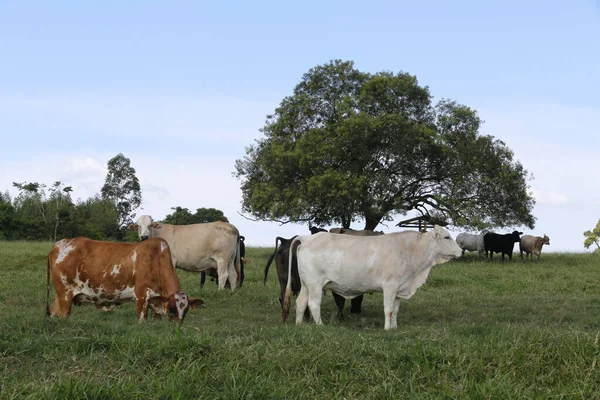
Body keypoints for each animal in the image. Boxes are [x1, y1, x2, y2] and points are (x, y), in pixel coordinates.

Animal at [45, 236, 204, 324]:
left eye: (185, 311)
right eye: (171, 310)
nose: (177, 328)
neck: (157, 260)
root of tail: (59, 244)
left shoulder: (156, 304)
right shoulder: (141, 296)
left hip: (60, 296)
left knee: (53, 313)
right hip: (65, 296)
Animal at [284, 225, 462, 332]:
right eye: (447, 237)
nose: (461, 251)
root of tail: (307, 238)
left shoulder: (399, 289)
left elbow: (395, 310)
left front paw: (394, 327)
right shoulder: (390, 286)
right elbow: (388, 309)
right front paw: (387, 329)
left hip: (306, 284)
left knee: (301, 302)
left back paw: (299, 325)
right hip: (315, 284)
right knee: (313, 304)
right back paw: (321, 326)